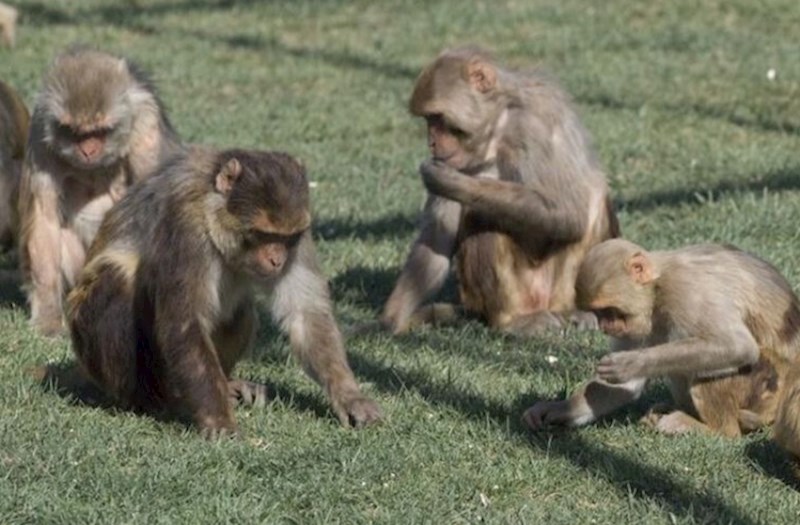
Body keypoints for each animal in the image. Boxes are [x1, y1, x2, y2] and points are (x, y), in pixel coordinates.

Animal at [19, 49, 184, 336]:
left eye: (101, 131)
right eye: (73, 132)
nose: (88, 150)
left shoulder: (146, 127)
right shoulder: (41, 130)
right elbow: (45, 219)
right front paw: (49, 315)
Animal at [65, 146, 382, 434]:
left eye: (285, 237)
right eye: (262, 234)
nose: (277, 260)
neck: (212, 211)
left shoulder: (301, 234)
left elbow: (306, 314)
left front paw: (350, 398)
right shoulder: (187, 226)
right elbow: (186, 323)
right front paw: (217, 418)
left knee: (240, 311)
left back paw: (227, 384)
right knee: (115, 279)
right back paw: (159, 400)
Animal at [382, 48, 620, 336]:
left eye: (437, 118)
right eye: (428, 119)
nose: (432, 142)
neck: (498, 127)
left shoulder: (537, 123)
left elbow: (569, 214)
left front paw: (455, 183)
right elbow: (437, 236)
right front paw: (390, 320)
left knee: (590, 196)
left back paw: (564, 312)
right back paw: (510, 319)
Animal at [520, 237, 800, 462]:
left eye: (610, 311)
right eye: (598, 313)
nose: (605, 326)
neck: (657, 289)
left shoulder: (686, 291)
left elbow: (737, 346)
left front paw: (631, 364)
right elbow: (624, 387)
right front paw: (557, 409)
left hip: (764, 386)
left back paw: (713, 429)